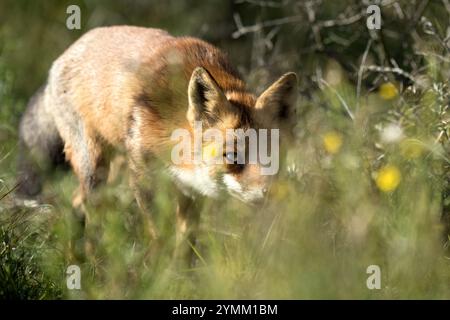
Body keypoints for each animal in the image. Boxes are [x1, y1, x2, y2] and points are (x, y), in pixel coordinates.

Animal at [16, 25, 298, 260]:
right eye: (232, 156)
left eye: (273, 155)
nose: (269, 194)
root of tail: (64, 55)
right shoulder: (142, 178)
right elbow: (159, 235)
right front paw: (158, 270)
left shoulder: (191, 189)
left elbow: (186, 239)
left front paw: (180, 274)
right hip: (95, 169)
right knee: (88, 211)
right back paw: (89, 263)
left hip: (113, 171)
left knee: (76, 204)